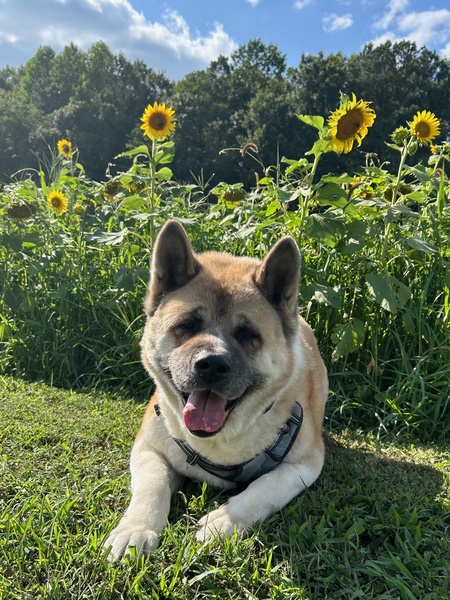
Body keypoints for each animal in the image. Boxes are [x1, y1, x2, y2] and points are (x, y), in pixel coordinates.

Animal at [106, 221, 328, 564]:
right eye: (187, 325)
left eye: (247, 334)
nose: (210, 364)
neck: (219, 443)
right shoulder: (147, 447)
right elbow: (152, 486)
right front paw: (135, 529)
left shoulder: (305, 464)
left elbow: (266, 486)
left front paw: (224, 520)